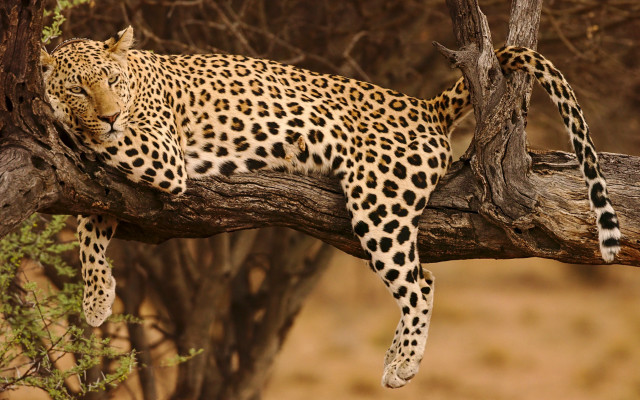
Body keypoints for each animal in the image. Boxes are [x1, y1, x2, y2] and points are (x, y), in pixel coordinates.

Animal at [40, 26, 620, 388]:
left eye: (112, 83)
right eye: (80, 88)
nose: (111, 116)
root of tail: (421, 105)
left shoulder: (162, 154)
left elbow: (91, 165)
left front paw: (53, 122)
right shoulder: (120, 183)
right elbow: (90, 220)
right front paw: (96, 297)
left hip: (379, 201)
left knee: (420, 282)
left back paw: (401, 365)